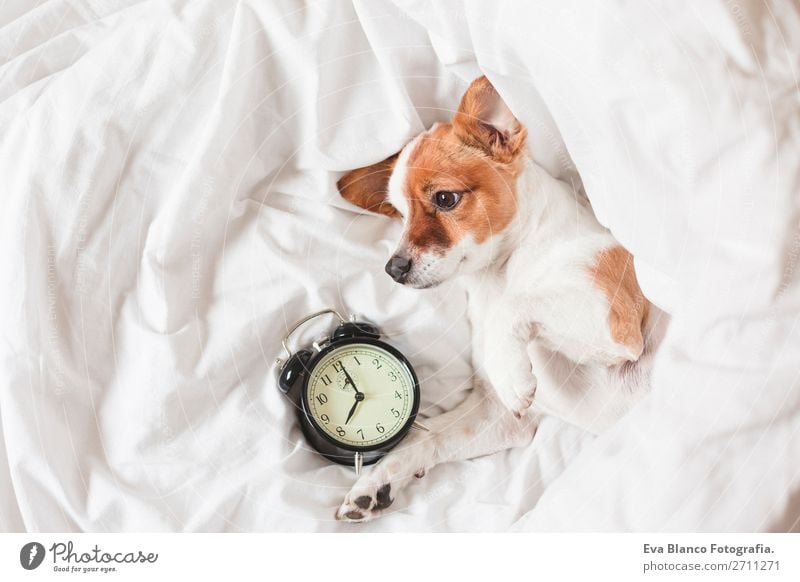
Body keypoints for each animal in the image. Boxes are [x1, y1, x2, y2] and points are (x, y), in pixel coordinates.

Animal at [332, 75, 668, 524]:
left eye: (445, 199)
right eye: (400, 215)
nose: (394, 268)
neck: (500, 278)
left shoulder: (615, 323)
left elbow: (518, 307)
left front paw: (512, 370)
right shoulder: (499, 418)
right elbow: (427, 438)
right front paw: (376, 482)